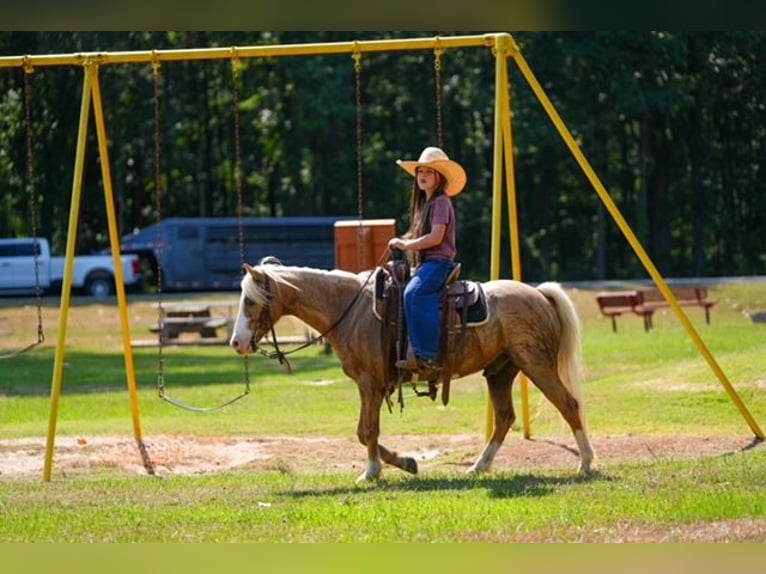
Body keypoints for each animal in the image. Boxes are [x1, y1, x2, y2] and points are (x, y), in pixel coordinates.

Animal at [229, 259, 596, 483]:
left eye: (250, 300)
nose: (237, 343)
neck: (349, 309)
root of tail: (540, 294)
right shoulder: (371, 385)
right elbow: (365, 431)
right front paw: (403, 463)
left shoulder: (369, 383)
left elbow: (367, 431)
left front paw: (372, 471)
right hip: (501, 372)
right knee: (505, 418)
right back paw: (479, 467)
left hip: (536, 364)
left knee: (569, 404)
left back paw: (586, 463)